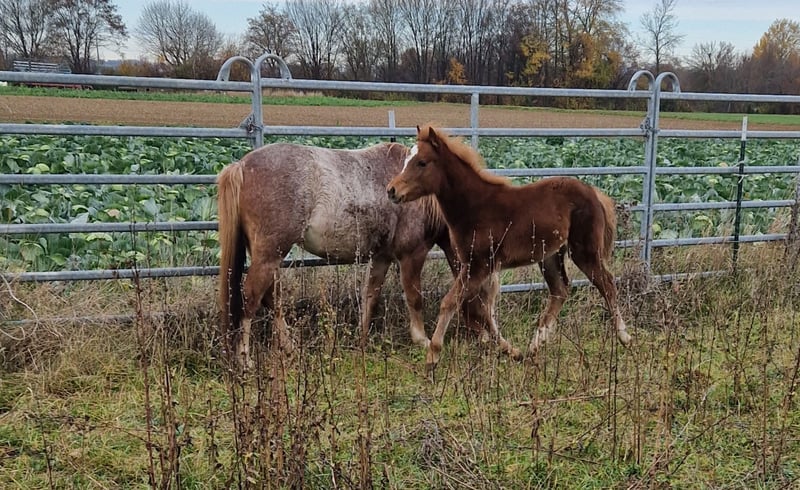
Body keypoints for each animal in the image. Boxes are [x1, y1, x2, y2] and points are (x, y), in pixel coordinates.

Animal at [217, 141, 516, 369]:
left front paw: (361, 339)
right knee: (251, 299)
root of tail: (241, 166)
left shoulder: (381, 257)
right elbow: (414, 297)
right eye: (485, 296)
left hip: (269, 256)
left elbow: (370, 295)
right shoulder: (412, 254)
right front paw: (421, 338)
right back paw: (244, 359)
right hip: (269, 255)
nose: (494, 340)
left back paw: (289, 347)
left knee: (271, 298)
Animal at [386, 125, 632, 371]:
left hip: (584, 250)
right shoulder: (477, 266)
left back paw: (624, 337)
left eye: (422, 162)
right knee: (560, 289)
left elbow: (451, 302)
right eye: (407, 159)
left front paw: (433, 355)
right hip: (550, 255)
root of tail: (594, 192)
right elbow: (482, 309)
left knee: (607, 283)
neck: (475, 206)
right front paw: (512, 351)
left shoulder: (479, 265)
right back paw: (535, 345)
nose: (391, 190)